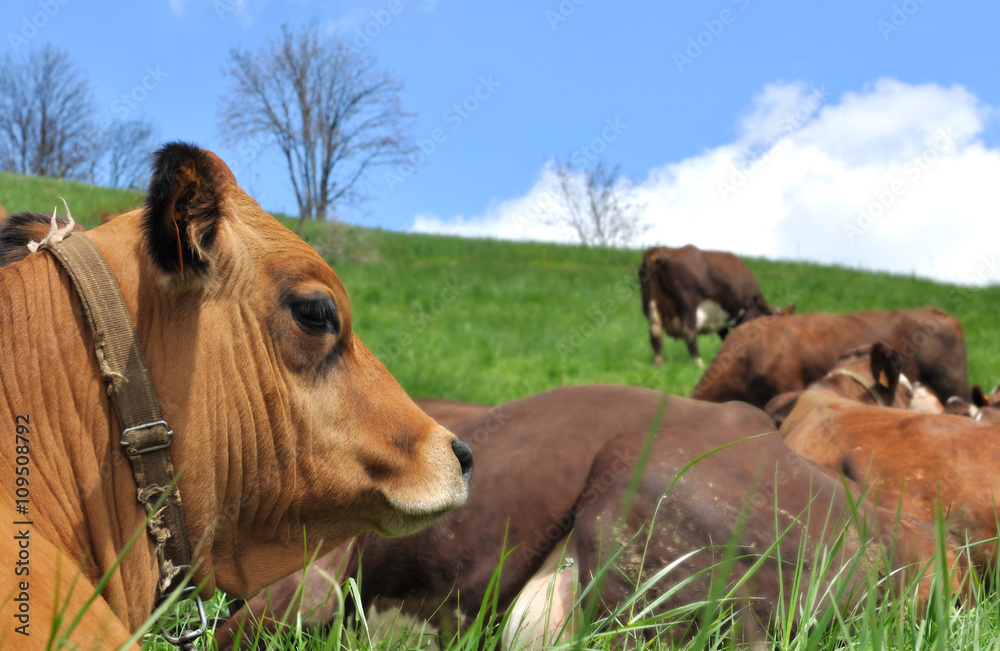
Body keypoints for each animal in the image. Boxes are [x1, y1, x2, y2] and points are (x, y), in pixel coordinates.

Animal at [636, 244, 792, 366]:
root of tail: (657, 250)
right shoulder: (748, 309)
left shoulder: (720, 322)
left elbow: (726, 337)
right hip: (688, 303)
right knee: (689, 332)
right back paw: (699, 364)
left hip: (651, 302)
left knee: (655, 332)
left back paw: (659, 365)